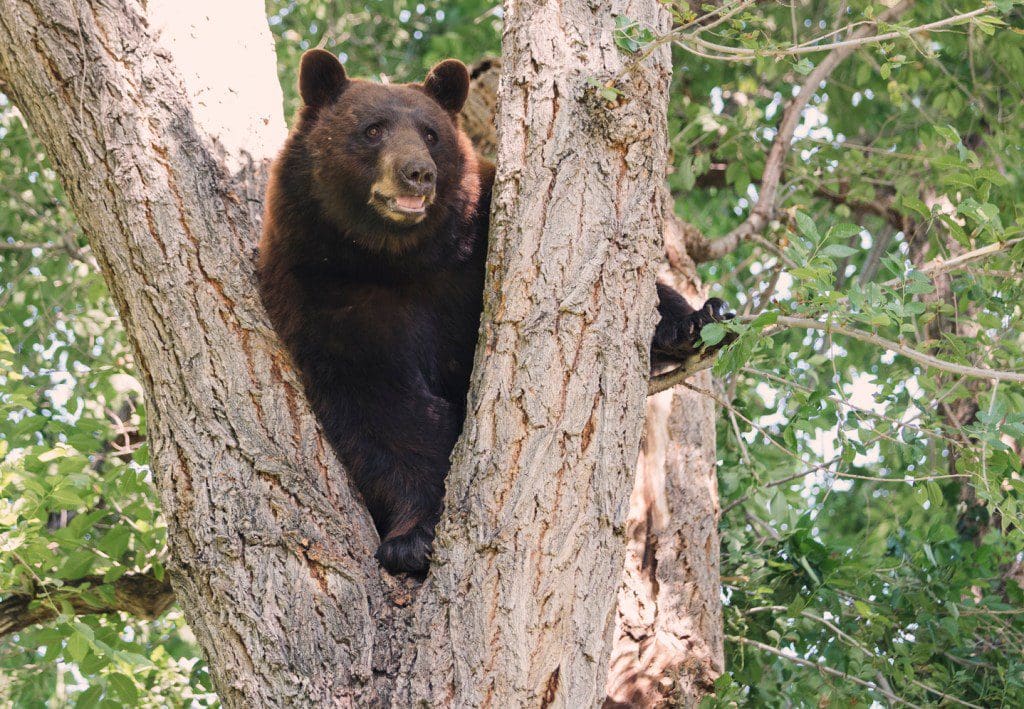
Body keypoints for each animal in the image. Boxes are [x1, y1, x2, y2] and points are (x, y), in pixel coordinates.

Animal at [260, 49, 733, 573]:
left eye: (431, 133)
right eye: (372, 129)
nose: (418, 172)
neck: (396, 258)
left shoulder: (473, 245)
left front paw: (696, 319)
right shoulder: (324, 293)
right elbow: (380, 408)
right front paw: (413, 537)